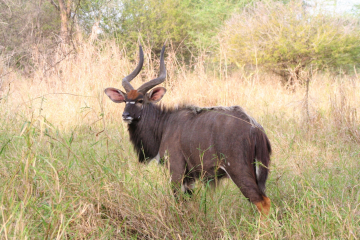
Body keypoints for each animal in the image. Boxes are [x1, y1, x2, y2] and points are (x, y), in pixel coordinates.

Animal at [103, 44, 270, 218]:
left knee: (262, 202)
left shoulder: (176, 170)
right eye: (125, 100)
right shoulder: (189, 178)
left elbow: (178, 200)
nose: (126, 115)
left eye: (140, 100)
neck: (164, 124)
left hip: (238, 171)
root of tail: (256, 129)